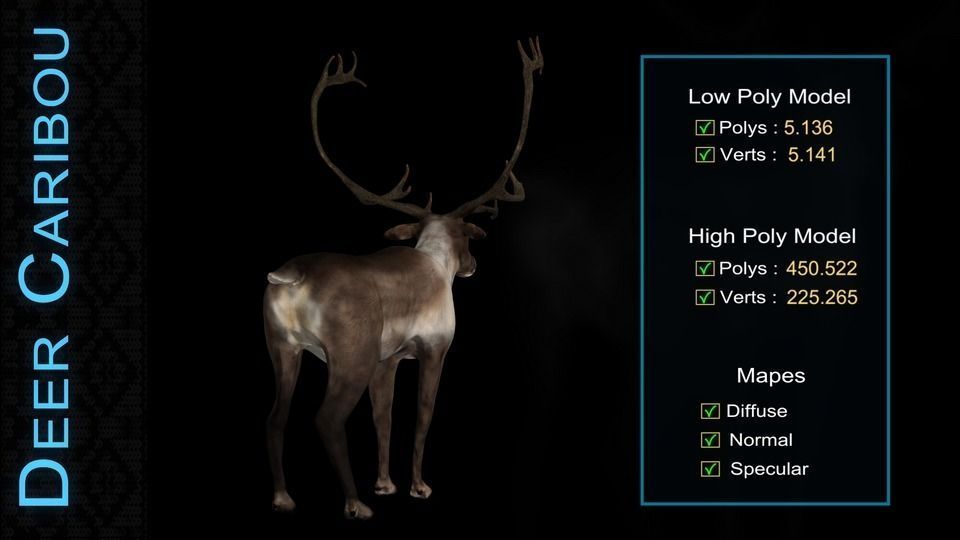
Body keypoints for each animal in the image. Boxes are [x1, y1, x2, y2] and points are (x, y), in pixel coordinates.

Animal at [264, 37, 543, 520]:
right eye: (468, 237)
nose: (473, 265)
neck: (436, 263)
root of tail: (291, 278)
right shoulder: (433, 348)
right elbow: (422, 417)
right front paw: (417, 487)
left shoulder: (386, 359)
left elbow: (384, 418)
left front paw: (385, 484)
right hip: (348, 355)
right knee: (327, 419)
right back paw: (354, 504)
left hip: (283, 347)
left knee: (276, 416)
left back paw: (284, 498)